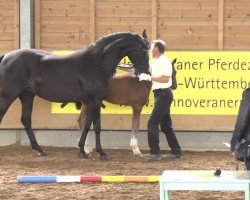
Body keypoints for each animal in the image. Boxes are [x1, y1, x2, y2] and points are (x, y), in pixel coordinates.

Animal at [0, 30, 149, 158]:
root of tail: (6, 57)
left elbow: (93, 125)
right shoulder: (94, 100)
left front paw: (93, 152)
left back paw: (40, 150)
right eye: (142, 51)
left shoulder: (95, 100)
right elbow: (91, 125)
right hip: (8, 96)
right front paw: (90, 152)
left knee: (26, 119)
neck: (95, 64)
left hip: (27, 95)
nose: (145, 73)